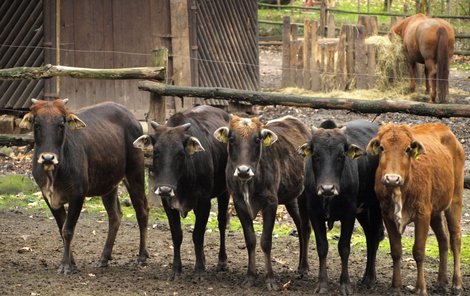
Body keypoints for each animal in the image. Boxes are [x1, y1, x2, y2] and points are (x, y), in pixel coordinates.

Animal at [19, 98, 149, 274]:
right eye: (37, 124)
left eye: (61, 124)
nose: (47, 158)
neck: (54, 173)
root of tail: (131, 116)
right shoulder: (48, 196)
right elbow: (61, 228)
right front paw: (71, 262)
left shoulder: (77, 195)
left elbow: (68, 230)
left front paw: (65, 265)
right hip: (108, 185)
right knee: (115, 216)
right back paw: (104, 258)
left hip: (135, 173)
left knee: (142, 210)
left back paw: (142, 257)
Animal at [133, 104, 230, 280]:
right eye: (156, 152)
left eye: (180, 153)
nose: (165, 188)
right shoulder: (167, 203)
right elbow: (177, 235)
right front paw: (176, 269)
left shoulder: (204, 201)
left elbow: (198, 235)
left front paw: (199, 270)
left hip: (224, 191)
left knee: (221, 222)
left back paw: (222, 261)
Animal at [214, 114, 312, 290]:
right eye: (231, 138)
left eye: (257, 139)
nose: (243, 170)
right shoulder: (239, 204)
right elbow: (250, 240)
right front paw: (250, 276)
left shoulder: (271, 203)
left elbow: (266, 241)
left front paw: (270, 279)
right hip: (291, 199)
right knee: (301, 227)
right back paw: (300, 266)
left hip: (304, 195)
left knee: (306, 228)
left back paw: (304, 268)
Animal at [300, 119, 384, 294]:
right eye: (316, 155)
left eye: (340, 156)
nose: (327, 188)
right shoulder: (314, 213)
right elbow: (322, 247)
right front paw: (322, 284)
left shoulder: (349, 213)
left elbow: (344, 248)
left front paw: (345, 284)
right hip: (363, 211)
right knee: (370, 235)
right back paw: (366, 277)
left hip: (376, 206)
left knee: (375, 235)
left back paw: (370, 278)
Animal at [368, 123, 462, 296]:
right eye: (382, 148)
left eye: (407, 149)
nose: (392, 178)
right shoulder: (387, 215)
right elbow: (396, 250)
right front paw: (396, 285)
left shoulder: (422, 214)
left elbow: (418, 251)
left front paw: (421, 287)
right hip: (435, 212)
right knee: (443, 240)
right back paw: (441, 281)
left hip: (455, 199)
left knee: (455, 238)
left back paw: (456, 283)